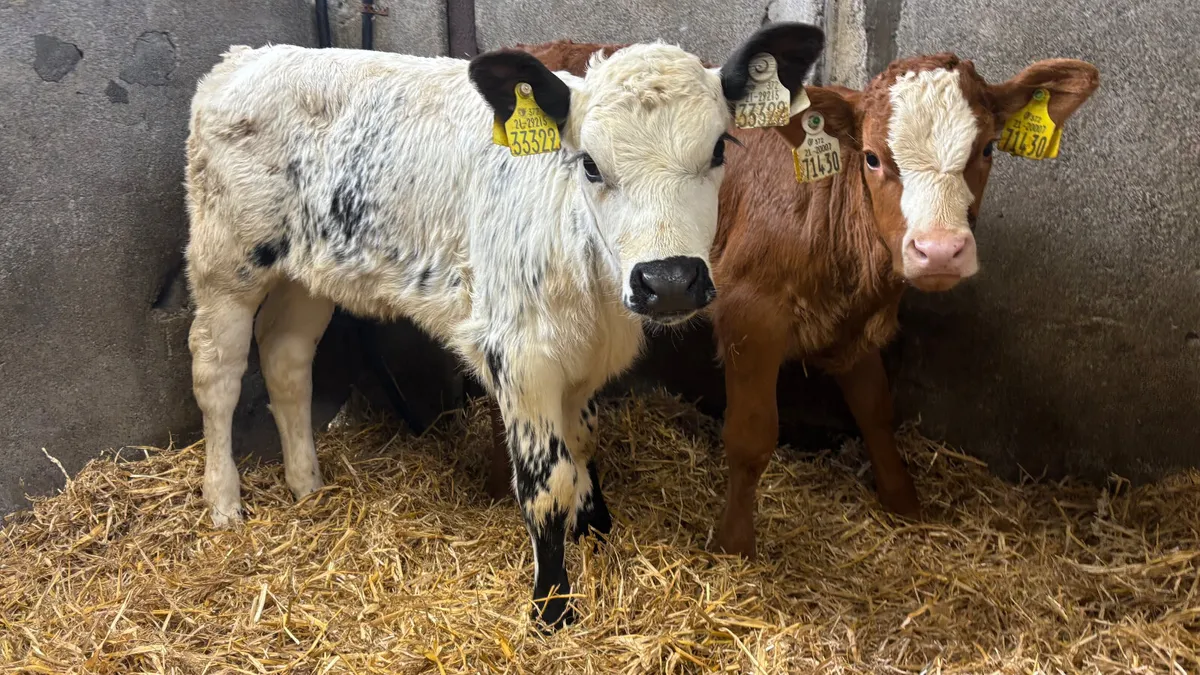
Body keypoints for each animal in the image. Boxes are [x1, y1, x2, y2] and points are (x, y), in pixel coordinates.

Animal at [182, 24, 825, 629]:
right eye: (589, 164)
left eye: (719, 149)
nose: (667, 281)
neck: (592, 281)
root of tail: (247, 57)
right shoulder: (522, 358)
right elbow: (548, 483)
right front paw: (552, 607)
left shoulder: (585, 360)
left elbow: (583, 443)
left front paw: (594, 527)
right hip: (226, 263)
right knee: (217, 374)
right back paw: (224, 503)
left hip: (306, 273)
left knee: (286, 359)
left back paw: (307, 484)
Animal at [510, 40, 1099, 557]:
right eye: (873, 158)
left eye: (988, 148)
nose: (938, 250)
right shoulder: (749, 314)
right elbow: (751, 435)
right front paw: (734, 547)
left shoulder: (853, 324)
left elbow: (876, 412)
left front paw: (905, 504)